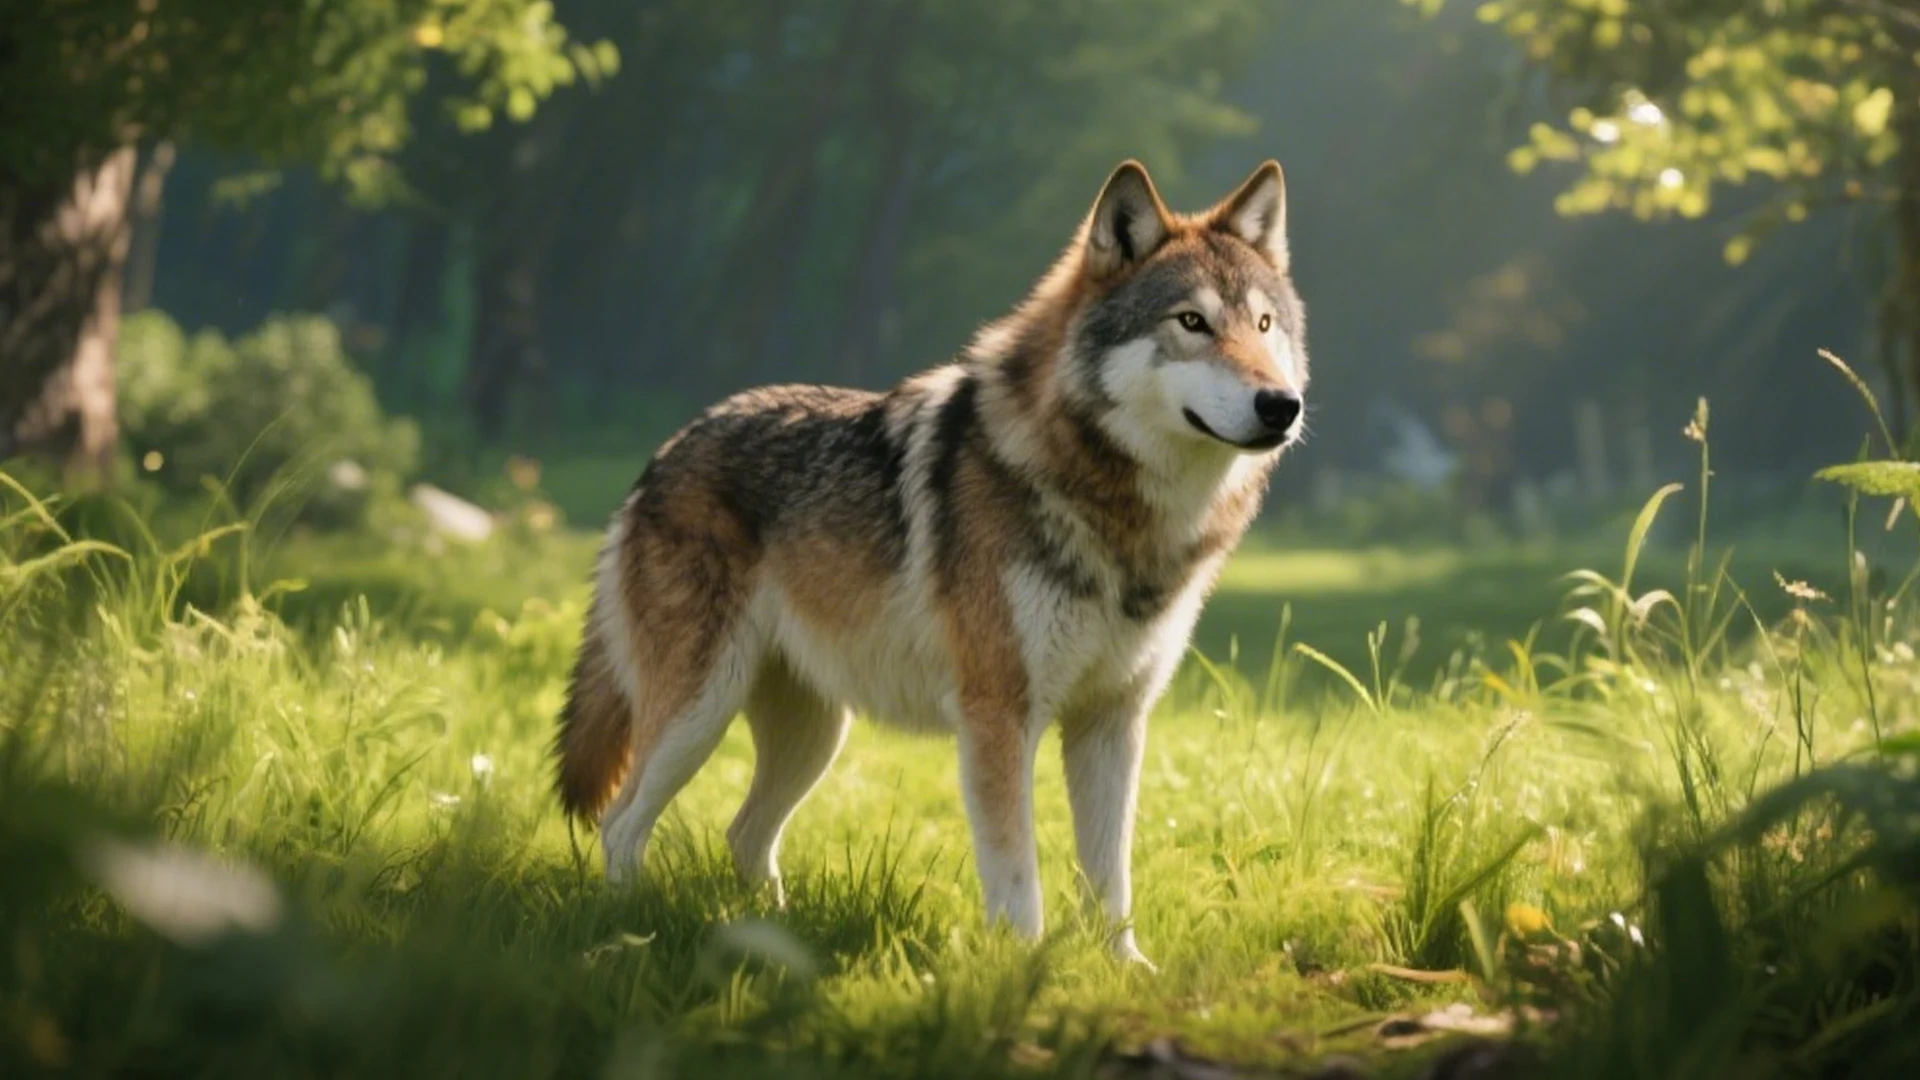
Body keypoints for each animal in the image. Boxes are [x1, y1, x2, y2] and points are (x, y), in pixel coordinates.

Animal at [554, 159, 1308, 965]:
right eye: (1191, 323)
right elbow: (1017, 870)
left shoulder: (1113, 722)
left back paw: (767, 941)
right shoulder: (999, 715)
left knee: (744, 835)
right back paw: (626, 935)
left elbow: (1111, 877)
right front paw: (1020, 966)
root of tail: (664, 452)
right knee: (621, 824)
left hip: (812, 738)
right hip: (698, 715)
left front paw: (1123, 969)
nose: (1281, 405)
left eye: (1265, 326)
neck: (1119, 513)